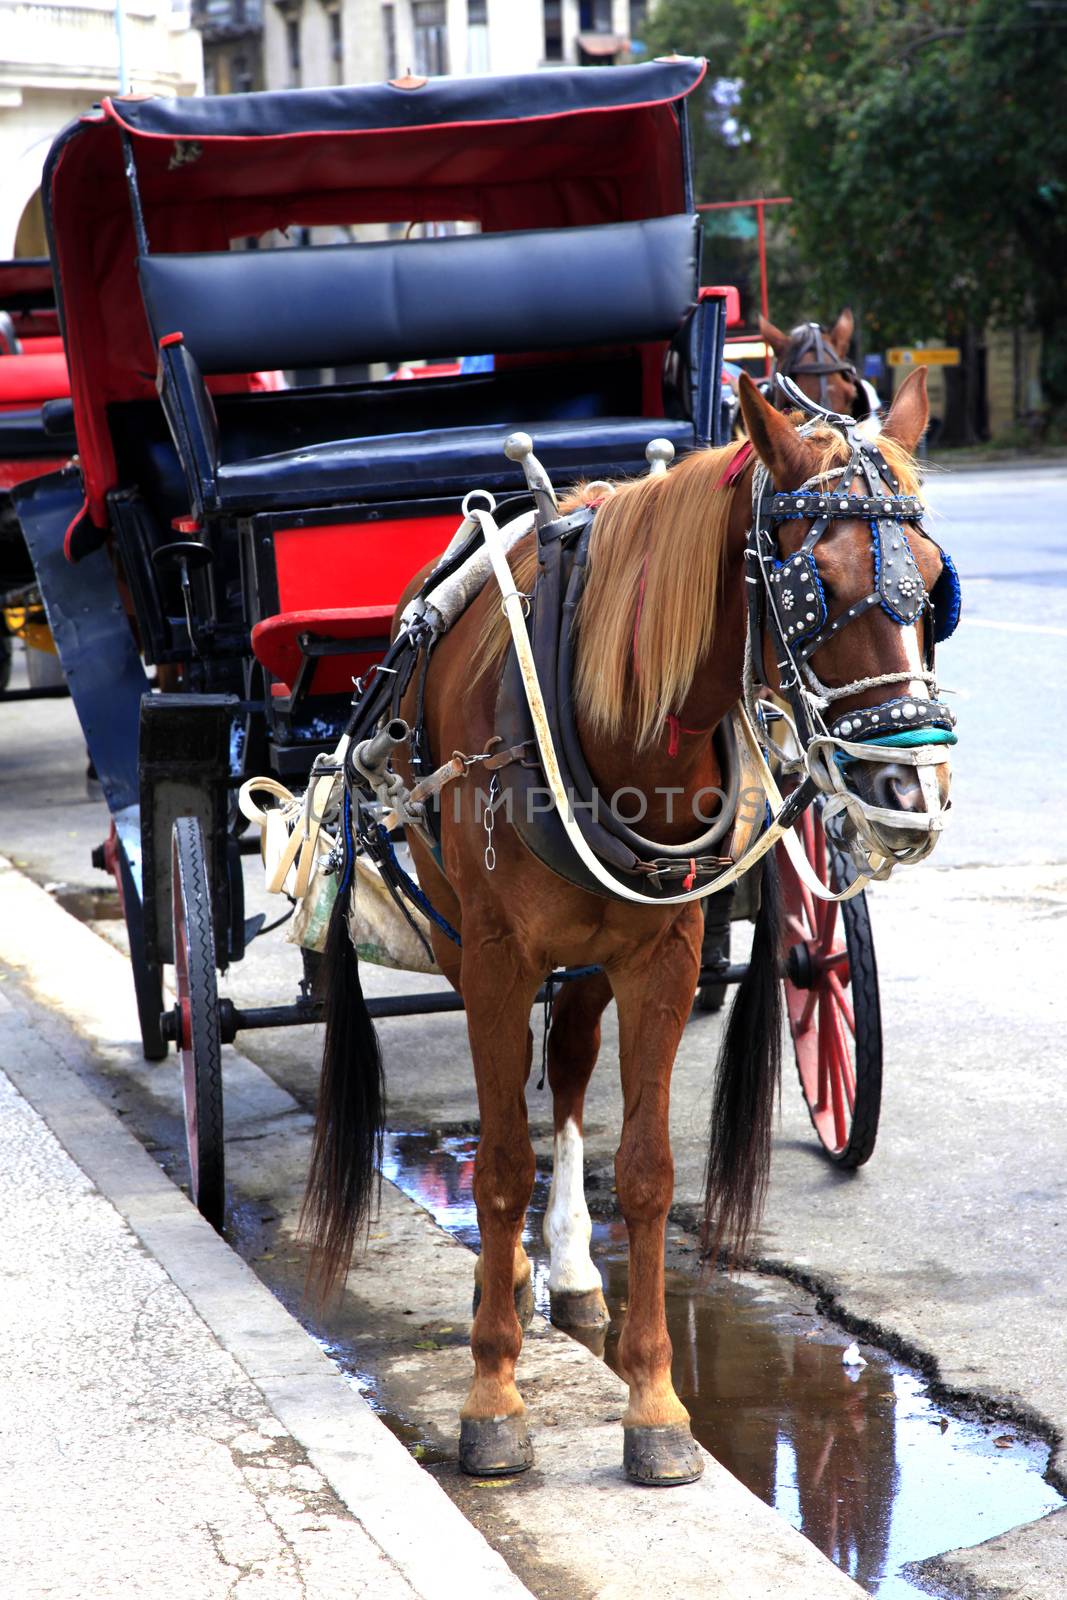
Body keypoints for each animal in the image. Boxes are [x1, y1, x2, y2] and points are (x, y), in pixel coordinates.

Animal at [302, 366, 953, 1484]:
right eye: (812, 583)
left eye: (932, 580)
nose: (905, 798)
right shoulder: (497, 956)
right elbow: (500, 1164)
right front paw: (492, 1393)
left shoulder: (661, 953)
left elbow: (645, 1174)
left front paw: (652, 1406)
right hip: (460, 930)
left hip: (591, 955)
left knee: (565, 1067)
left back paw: (563, 1268)